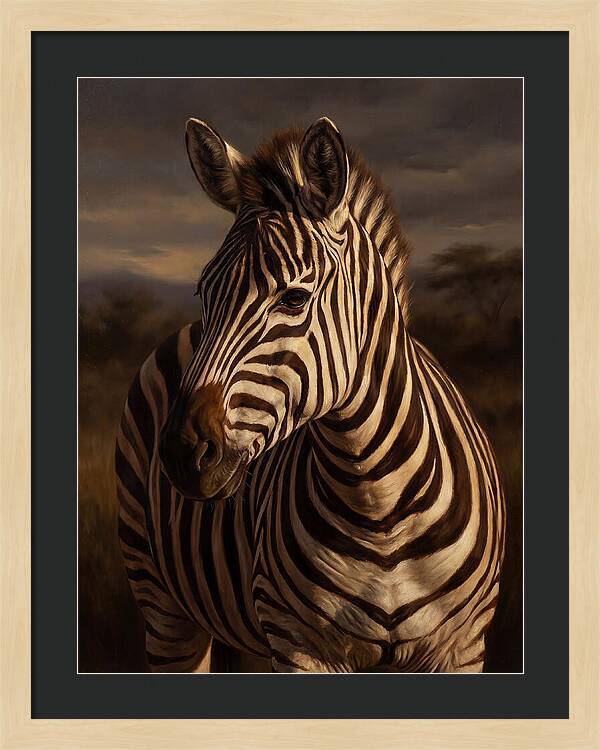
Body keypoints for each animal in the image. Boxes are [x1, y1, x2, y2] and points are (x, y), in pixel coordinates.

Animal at [116, 116, 506, 673]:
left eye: (295, 297)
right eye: (204, 292)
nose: (182, 452)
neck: (378, 506)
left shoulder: (462, 646)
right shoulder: (300, 642)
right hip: (163, 602)